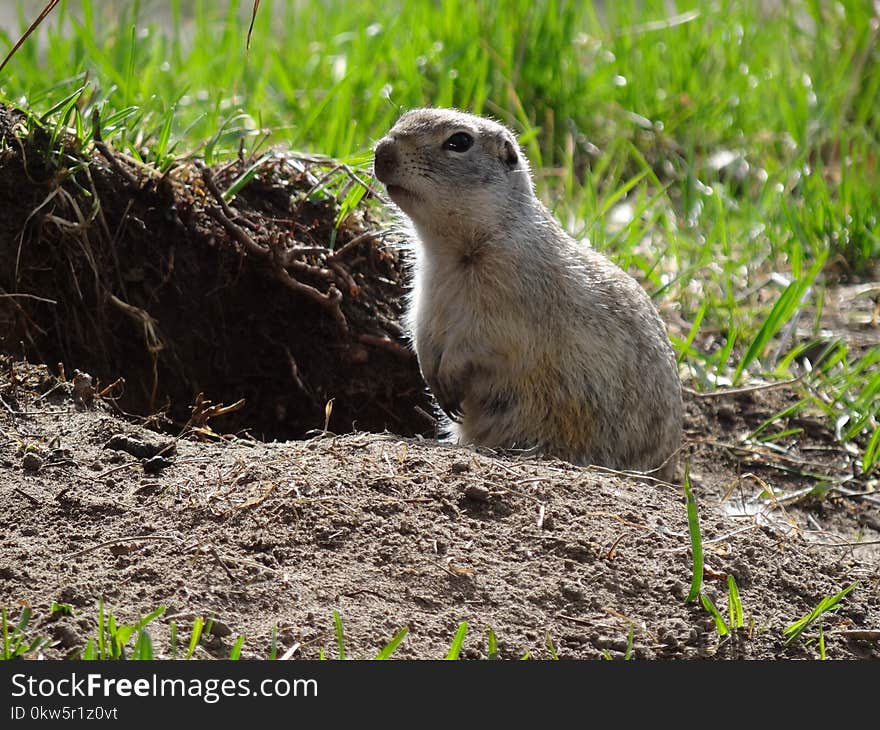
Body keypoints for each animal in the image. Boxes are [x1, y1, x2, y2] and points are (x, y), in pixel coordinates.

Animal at [372, 105, 680, 474]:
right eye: (405, 117)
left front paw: (448, 379)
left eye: (459, 141)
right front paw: (431, 375)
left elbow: (480, 341)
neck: (453, 251)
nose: (381, 152)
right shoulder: (425, 294)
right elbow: (421, 334)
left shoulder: (510, 303)